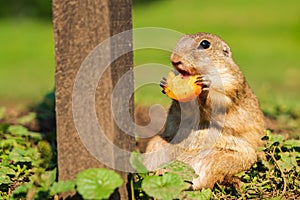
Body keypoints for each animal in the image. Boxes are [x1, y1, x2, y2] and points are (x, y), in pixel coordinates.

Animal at [143, 32, 264, 189]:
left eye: (205, 44)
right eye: (179, 40)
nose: (174, 59)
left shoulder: (231, 83)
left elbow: (220, 100)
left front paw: (205, 86)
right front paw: (164, 82)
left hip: (223, 160)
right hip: (155, 144)